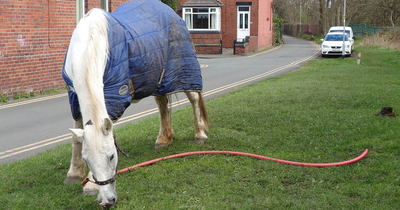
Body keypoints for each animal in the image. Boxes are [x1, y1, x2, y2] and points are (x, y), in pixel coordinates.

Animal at [61, 0, 209, 208]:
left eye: (112, 156)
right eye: (86, 158)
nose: (107, 201)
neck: (89, 46)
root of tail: (171, 12)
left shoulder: (113, 94)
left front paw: (89, 185)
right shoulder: (73, 96)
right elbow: (77, 136)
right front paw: (74, 174)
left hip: (183, 70)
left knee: (194, 98)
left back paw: (200, 135)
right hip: (156, 79)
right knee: (162, 104)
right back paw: (163, 140)